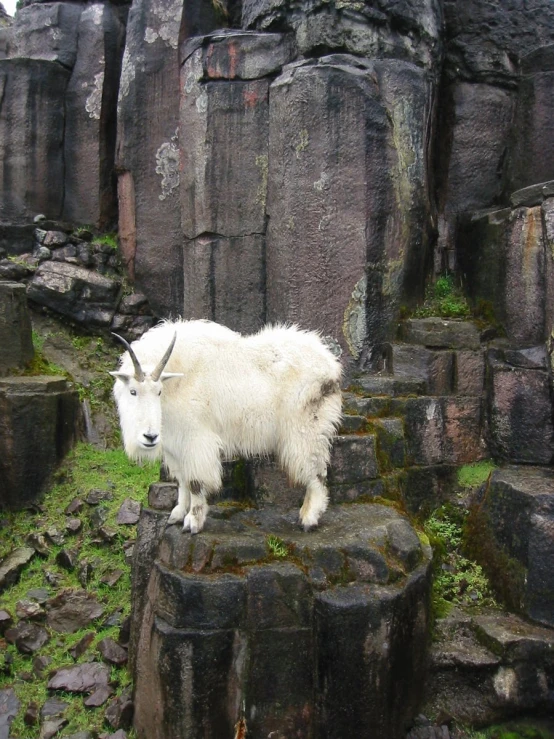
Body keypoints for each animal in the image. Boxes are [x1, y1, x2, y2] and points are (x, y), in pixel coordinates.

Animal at [110, 320, 342, 536]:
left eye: (158, 391)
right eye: (133, 391)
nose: (149, 437)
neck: (177, 381)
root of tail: (331, 366)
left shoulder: (196, 439)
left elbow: (195, 481)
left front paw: (193, 523)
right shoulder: (176, 443)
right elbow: (182, 479)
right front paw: (177, 514)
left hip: (306, 429)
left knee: (317, 472)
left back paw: (309, 518)